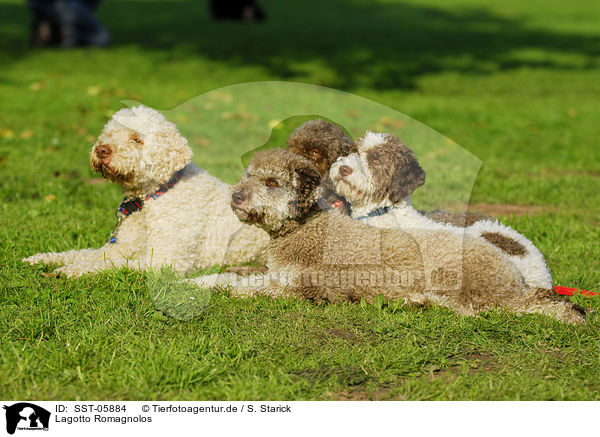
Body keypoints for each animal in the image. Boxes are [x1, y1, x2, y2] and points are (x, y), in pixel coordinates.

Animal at [22, 104, 268, 276]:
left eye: (137, 139)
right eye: (109, 134)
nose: (101, 150)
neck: (151, 198)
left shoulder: (165, 260)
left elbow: (110, 264)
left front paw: (71, 270)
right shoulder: (119, 247)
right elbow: (83, 254)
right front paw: (42, 259)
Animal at [190, 150, 584, 324]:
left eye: (272, 182)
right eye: (249, 176)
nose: (236, 197)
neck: (305, 227)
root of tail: (514, 275)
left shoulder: (296, 289)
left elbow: (239, 286)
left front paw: (201, 286)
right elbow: (232, 275)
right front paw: (199, 280)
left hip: (462, 280)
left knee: (487, 309)